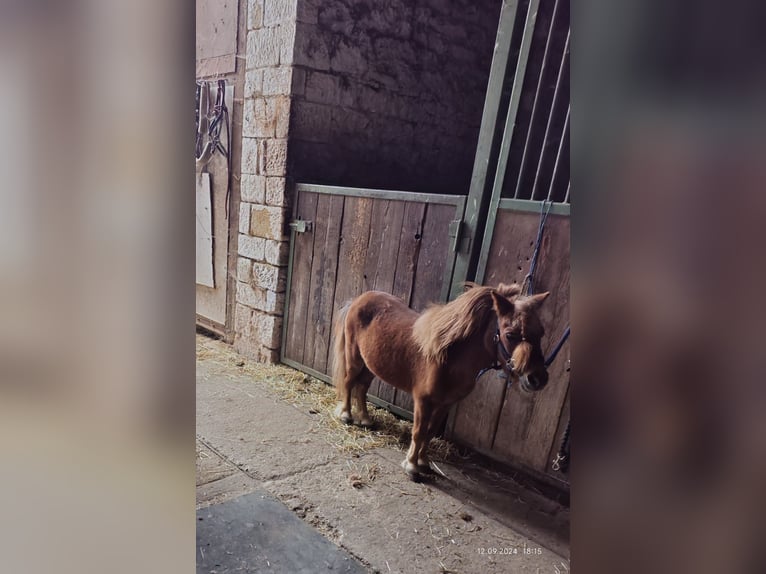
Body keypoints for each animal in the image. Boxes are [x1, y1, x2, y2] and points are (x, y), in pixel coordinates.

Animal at [332, 282, 552, 476]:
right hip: (355, 359)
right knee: (349, 382)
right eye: (510, 334)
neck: (450, 359)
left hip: (371, 365)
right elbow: (419, 431)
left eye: (541, 332)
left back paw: (365, 419)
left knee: (362, 387)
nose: (537, 379)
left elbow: (430, 432)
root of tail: (359, 299)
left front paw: (423, 462)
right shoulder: (423, 401)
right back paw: (346, 415)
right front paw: (411, 466)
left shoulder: (445, 404)